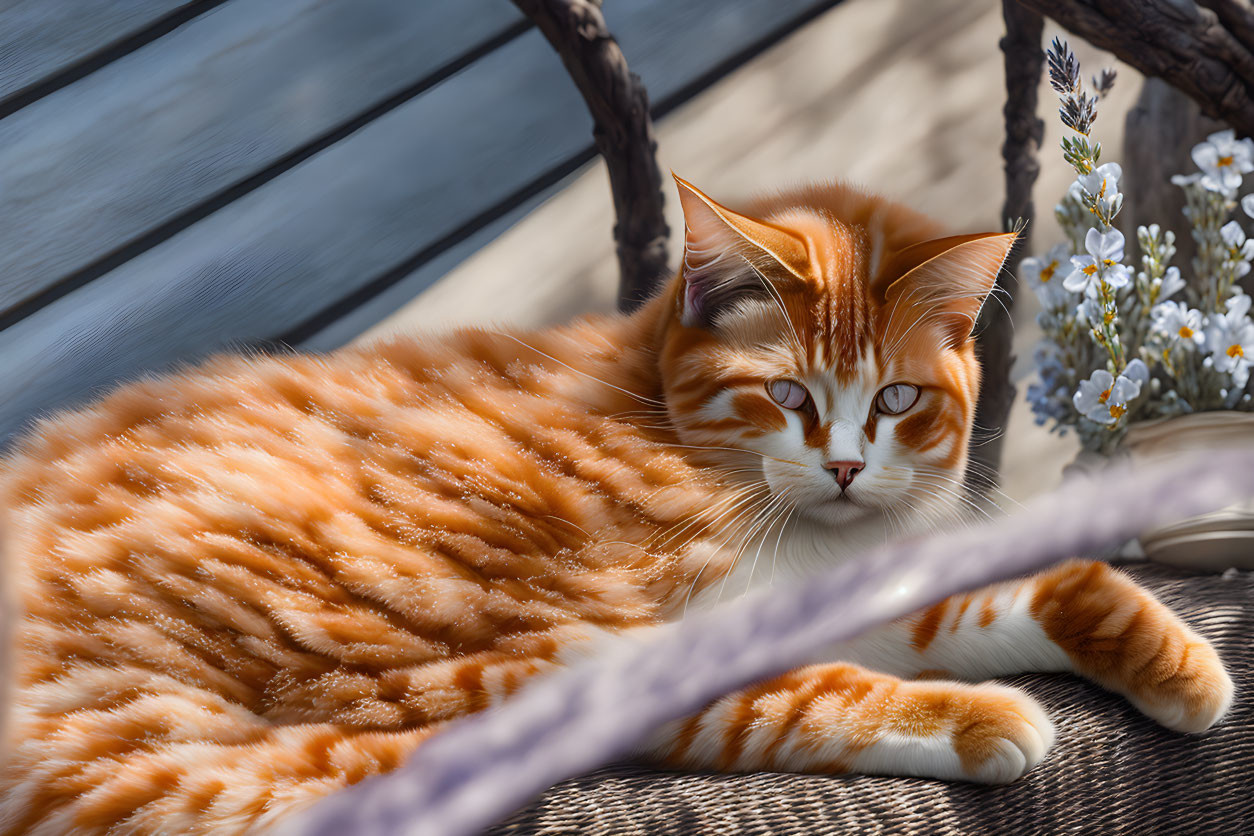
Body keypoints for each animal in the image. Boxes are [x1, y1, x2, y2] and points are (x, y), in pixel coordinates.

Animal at [0, 175, 1233, 832]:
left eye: (896, 397)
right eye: (788, 393)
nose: (842, 468)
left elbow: (1007, 593)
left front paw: (1177, 659)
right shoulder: (657, 633)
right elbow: (812, 690)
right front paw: (980, 717)